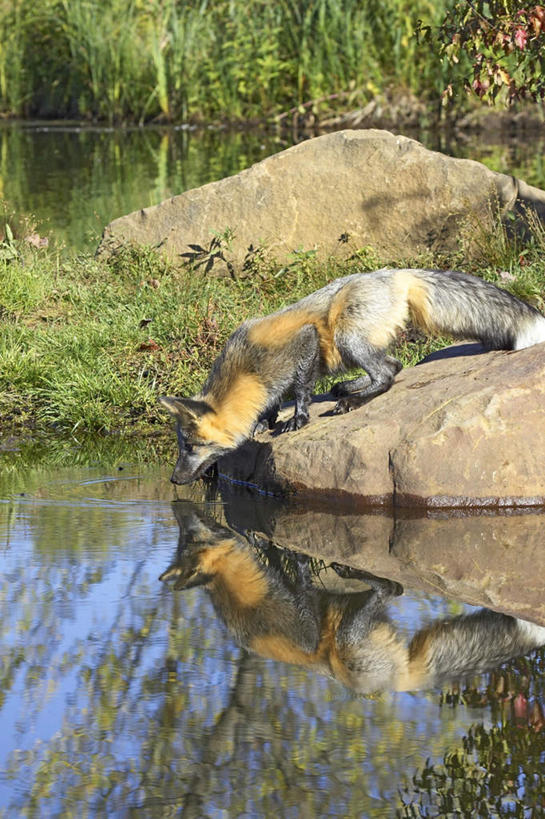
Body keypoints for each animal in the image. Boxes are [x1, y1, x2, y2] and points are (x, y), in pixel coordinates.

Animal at [157, 270, 544, 484]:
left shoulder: (306, 343)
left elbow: (301, 391)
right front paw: (264, 421)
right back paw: (347, 388)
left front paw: (296, 419)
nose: (174, 480)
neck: (247, 371)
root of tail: (394, 273)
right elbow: (273, 403)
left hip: (347, 338)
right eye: (181, 446)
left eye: (191, 447)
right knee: (395, 366)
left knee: (387, 374)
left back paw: (353, 400)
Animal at [159, 510, 544, 696]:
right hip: (348, 636)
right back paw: (361, 573)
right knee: (392, 592)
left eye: (187, 535)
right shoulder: (305, 621)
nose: (181, 509)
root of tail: (398, 683)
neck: (240, 593)